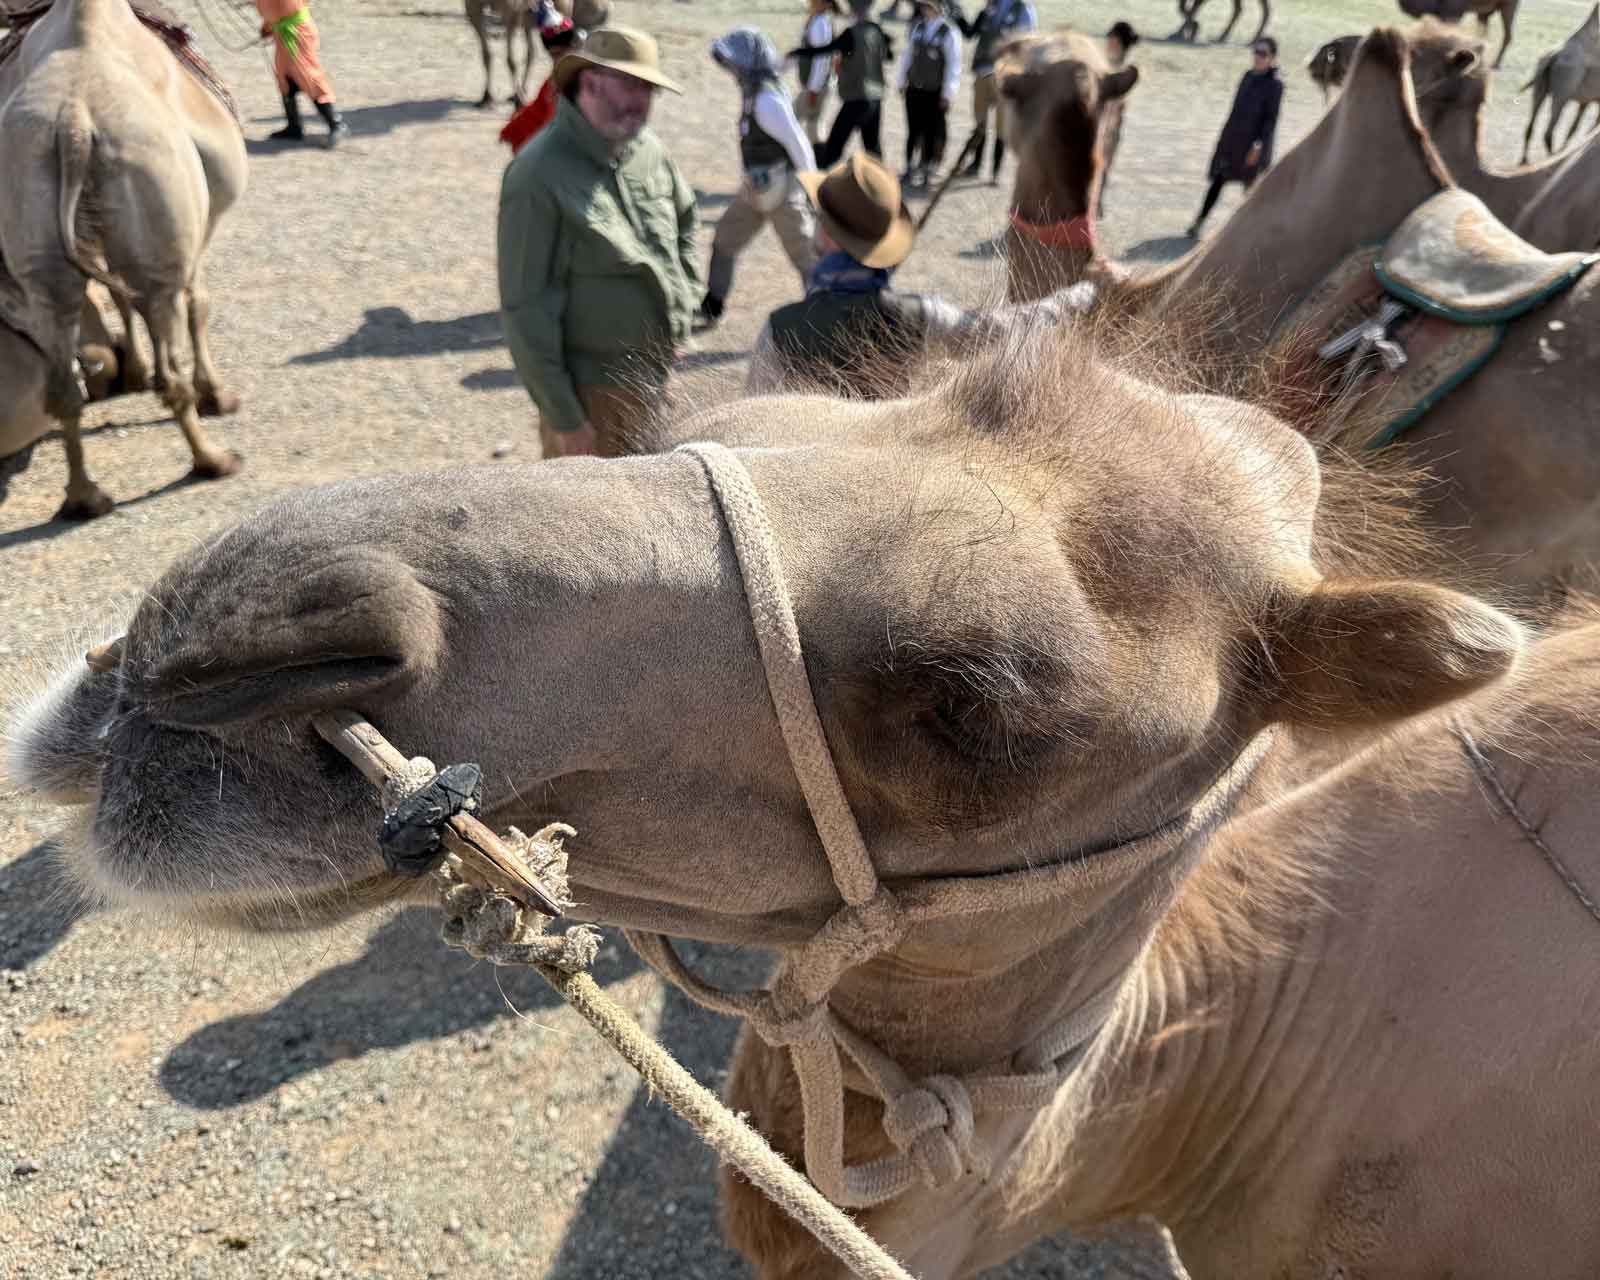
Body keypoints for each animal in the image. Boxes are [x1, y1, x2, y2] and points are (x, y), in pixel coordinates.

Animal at [0, 0, 245, 518]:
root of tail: (74, 123)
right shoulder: (201, 222)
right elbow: (199, 304)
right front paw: (217, 395)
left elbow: (119, 298)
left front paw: (134, 371)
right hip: (157, 230)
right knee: (169, 343)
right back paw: (212, 460)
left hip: (34, 233)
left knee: (62, 376)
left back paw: (85, 497)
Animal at [1519, 5, 1600, 162]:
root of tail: (1553, 55)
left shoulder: (1585, 101)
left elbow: (1574, 129)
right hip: (1563, 91)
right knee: (1548, 131)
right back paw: (1553, 157)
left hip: (1540, 87)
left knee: (1530, 125)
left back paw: (1525, 162)